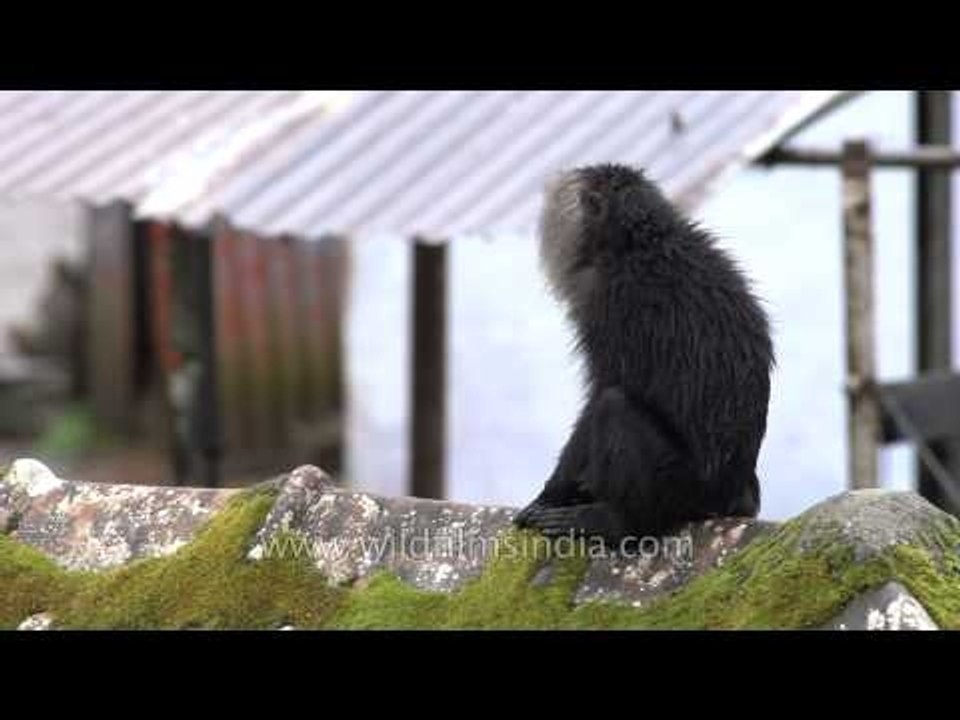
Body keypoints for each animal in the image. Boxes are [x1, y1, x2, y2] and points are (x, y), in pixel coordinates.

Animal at [514, 163, 774, 544]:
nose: (543, 213)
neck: (635, 245)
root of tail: (734, 494)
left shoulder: (614, 302)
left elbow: (602, 391)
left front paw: (552, 493)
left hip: (683, 486)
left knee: (614, 407)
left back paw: (619, 523)